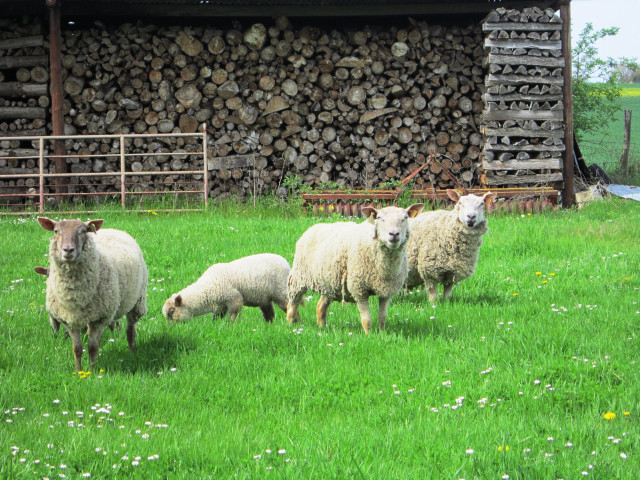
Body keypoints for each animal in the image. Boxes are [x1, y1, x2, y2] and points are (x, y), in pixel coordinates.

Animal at [38, 217, 148, 372]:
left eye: (83, 231)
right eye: (56, 231)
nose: (68, 250)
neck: (76, 295)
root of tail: (113, 229)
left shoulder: (101, 318)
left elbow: (93, 347)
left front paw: (92, 370)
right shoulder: (69, 320)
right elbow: (77, 348)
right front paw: (78, 371)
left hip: (137, 301)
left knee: (130, 329)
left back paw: (132, 351)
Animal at [286, 203, 424, 334]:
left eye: (405, 218)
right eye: (379, 218)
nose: (394, 234)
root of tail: (313, 227)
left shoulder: (386, 291)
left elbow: (382, 317)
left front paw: (382, 334)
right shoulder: (359, 289)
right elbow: (366, 319)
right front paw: (369, 336)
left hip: (329, 283)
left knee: (320, 307)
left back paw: (322, 328)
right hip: (298, 278)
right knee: (292, 304)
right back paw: (291, 326)